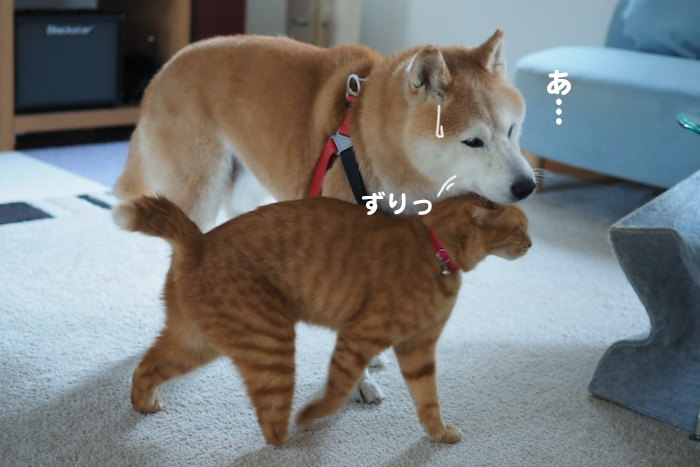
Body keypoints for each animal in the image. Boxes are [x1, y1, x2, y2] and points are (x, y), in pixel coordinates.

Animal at [113, 30, 536, 403]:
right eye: (473, 141)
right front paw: (359, 384)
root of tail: (165, 67)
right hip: (202, 190)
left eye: (511, 129)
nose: (527, 186)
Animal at [114, 194, 531, 445]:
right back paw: (296, 433)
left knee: (146, 368)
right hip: (270, 343)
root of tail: (198, 241)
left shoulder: (418, 350)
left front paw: (440, 434)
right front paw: (314, 413)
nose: (531, 244)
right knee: (271, 426)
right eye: (520, 229)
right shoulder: (359, 337)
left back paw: (143, 403)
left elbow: (428, 401)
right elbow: (337, 391)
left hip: (197, 342)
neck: (434, 248)